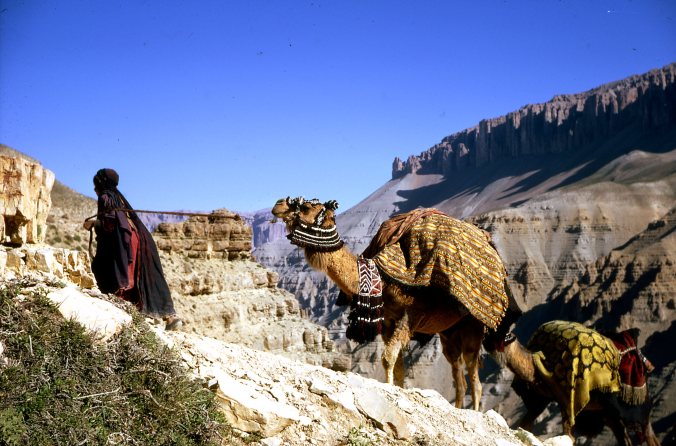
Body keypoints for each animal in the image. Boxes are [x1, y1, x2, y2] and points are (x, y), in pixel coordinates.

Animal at [271, 196, 521, 411]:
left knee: (473, 374)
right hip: (449, 332)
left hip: (474, 325)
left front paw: (391, 391)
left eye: (306, 207)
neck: (382, 279)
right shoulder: (389, 321)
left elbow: (388, 358)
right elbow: (397, 364)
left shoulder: (408, 317)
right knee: (458, 374)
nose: (278, 204)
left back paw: (476, 411)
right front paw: (398, 390)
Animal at [488, 320, 660, 446]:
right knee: (624, 437)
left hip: (636, 405)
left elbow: (569, 436)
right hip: (609, 412)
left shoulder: (567, 398)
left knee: (648, 434)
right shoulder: (543, 399)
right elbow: (525, 425)